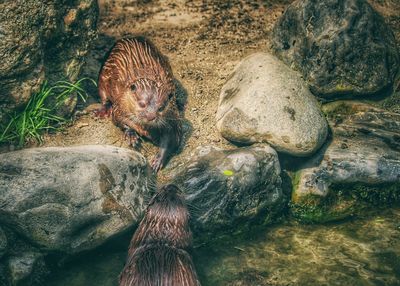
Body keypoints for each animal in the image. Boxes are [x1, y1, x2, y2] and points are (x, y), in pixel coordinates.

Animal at [97, 36, 182, 171]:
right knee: (102, 92)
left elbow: (172, 138)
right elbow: (118, 120)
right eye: (142, 104)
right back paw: (102, 111)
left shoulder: (172, 117)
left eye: (161, 107)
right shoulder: (119, 106)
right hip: (104, 73)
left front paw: (158, 160)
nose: (150, 116)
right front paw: (132, 136)